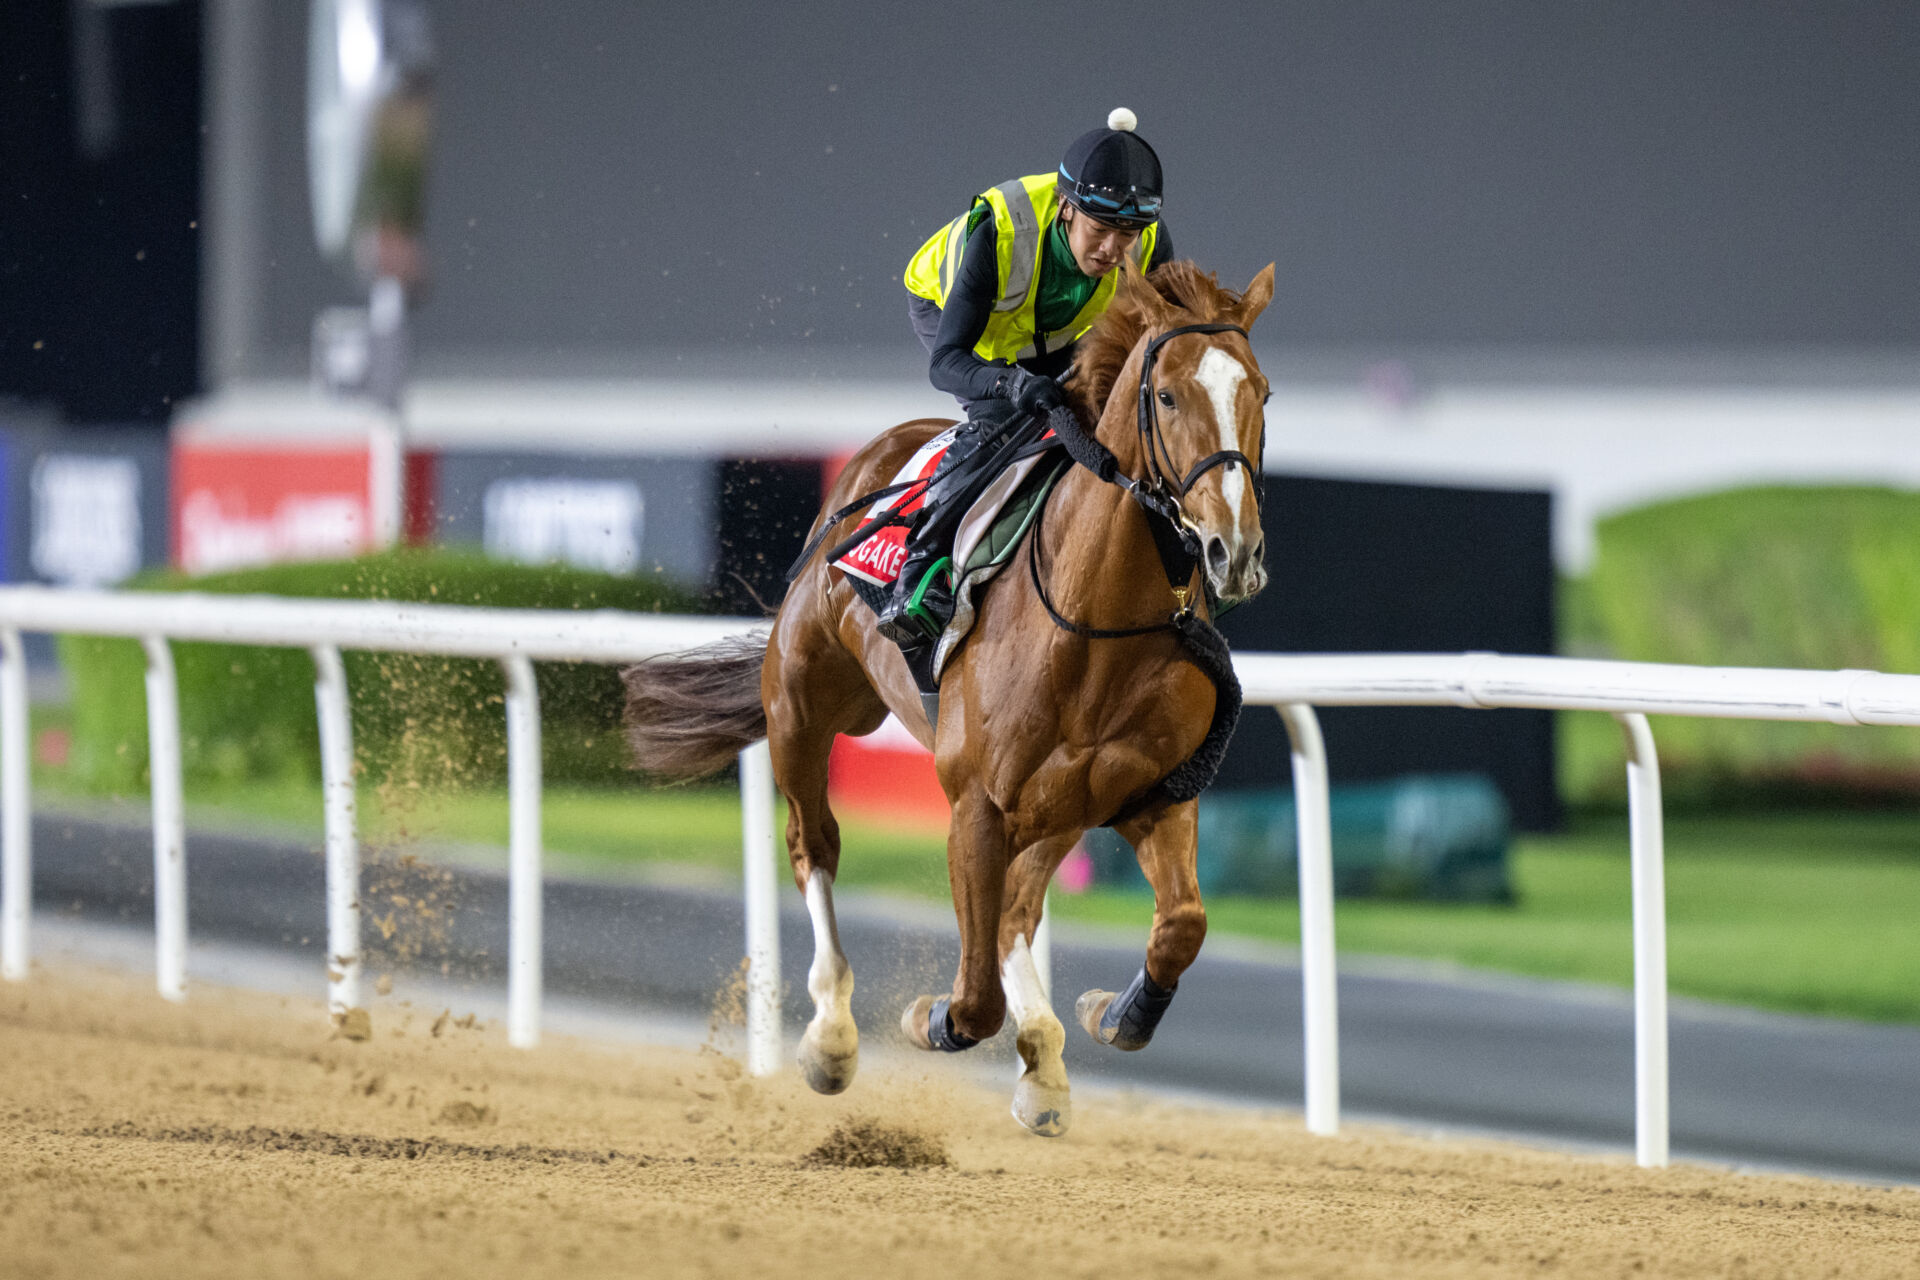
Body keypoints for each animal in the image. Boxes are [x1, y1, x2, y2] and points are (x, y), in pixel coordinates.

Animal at [623, 258, 1274, 1136]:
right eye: (1168, 396)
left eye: (1261, 393)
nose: (1233, 550)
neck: (1096, 622)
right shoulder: (976, 806)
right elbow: (971, 1001)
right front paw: (925, 1019)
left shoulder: (1151, 793)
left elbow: (1180, 926)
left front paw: (1111, 1013)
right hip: (801, 705)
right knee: (815, 846)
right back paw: (832, 1039)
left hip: (1057, 806)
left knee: (1020, 911)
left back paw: (1046, 1067)